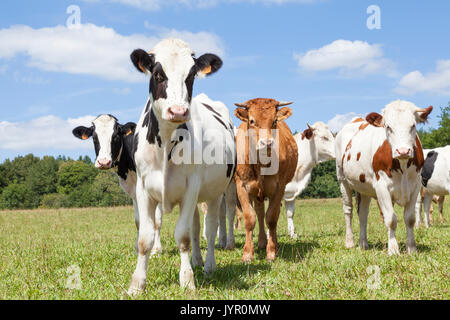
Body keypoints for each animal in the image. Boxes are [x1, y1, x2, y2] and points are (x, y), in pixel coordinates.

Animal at [73, 114, 164, 256]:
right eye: (94, 137)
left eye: (115, 136)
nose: (103, 162)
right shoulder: (134, 191)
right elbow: (138, 221)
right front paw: (138, 248)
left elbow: (156, 220)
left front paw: (156, 250)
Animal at [234, 98, 298, 262]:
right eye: (252, 120)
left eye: (274, 121)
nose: (267, 143)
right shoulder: (241, 186)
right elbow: (250, 218)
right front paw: (247, 253)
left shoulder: (279, 187)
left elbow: (272, 218)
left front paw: (272, 252)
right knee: (259, 212)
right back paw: (262, 242)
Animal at [334, 100, 432, 255]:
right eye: (388, 127)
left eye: (413, 125)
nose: (403, 151)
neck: (402, 165)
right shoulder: (381, 187)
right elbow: (391, 219)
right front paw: (393, 249)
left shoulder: (415, 186)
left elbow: (409, 219)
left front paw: (411, 248)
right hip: (343, 180)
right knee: (348, 210)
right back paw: (350, 242)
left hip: (364, 187)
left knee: (363, 214)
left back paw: (363, 243)